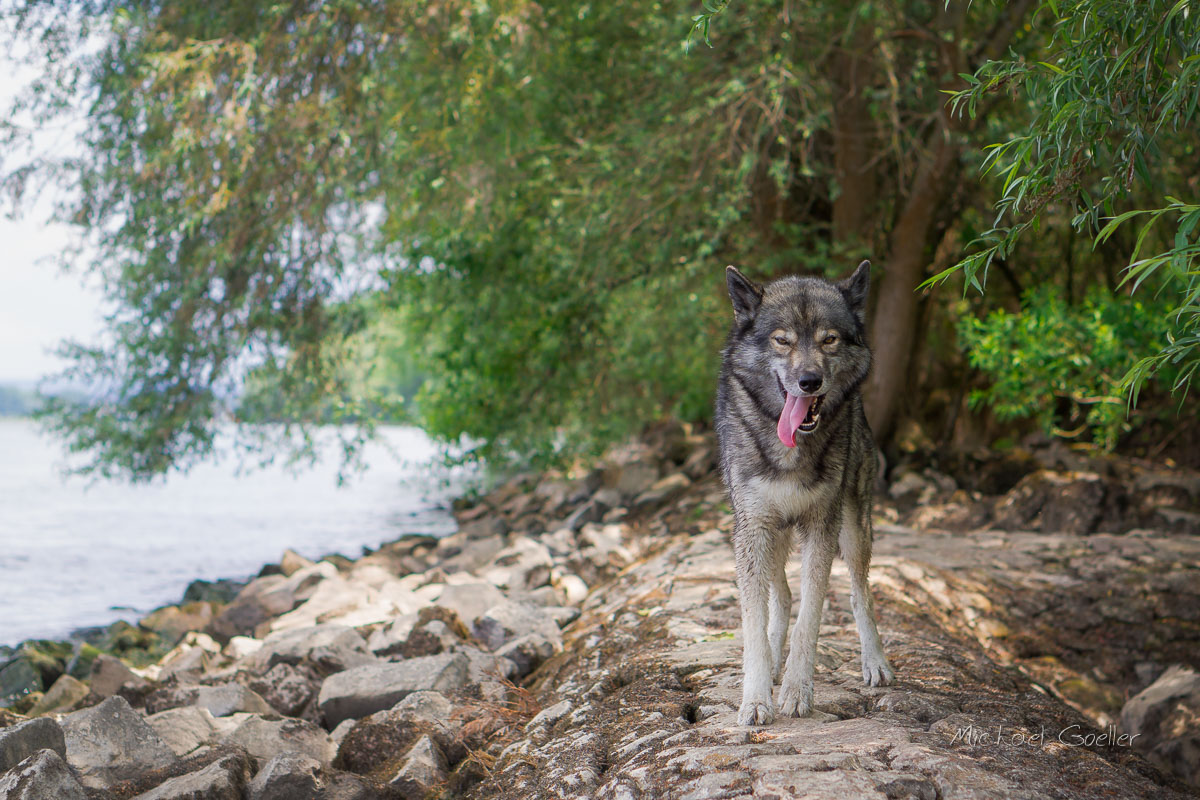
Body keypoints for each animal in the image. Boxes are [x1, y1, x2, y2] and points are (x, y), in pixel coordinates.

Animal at [710, 262, 892, 724]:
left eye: (829, 339)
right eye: (783, 340)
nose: (810, 381)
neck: (791, 447)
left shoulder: (821, 528)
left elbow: (811, 617)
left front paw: (796, 691)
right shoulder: (752, 529)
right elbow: (754, 625)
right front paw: (757, 698)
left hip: (854, 530)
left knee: (860, 593)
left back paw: (875, 662)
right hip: (771, 536)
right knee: (782, 596)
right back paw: (775, 660)